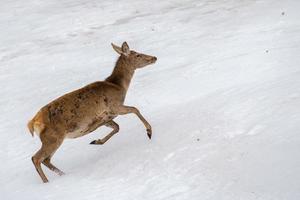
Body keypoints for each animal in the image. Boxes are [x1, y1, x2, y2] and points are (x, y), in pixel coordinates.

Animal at [27, 41, 157, 183]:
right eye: (137, 54)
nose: (154, 58)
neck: (119, 87)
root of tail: (34, 122)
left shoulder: (105, 118)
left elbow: (117, 127)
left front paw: (96, 141)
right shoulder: (115, 107)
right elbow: (135, 109)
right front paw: (149, 132)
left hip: (52, 140)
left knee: (46, 159)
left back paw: (63, 174)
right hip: (52, 138)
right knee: (36, 158)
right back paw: (47, 182)